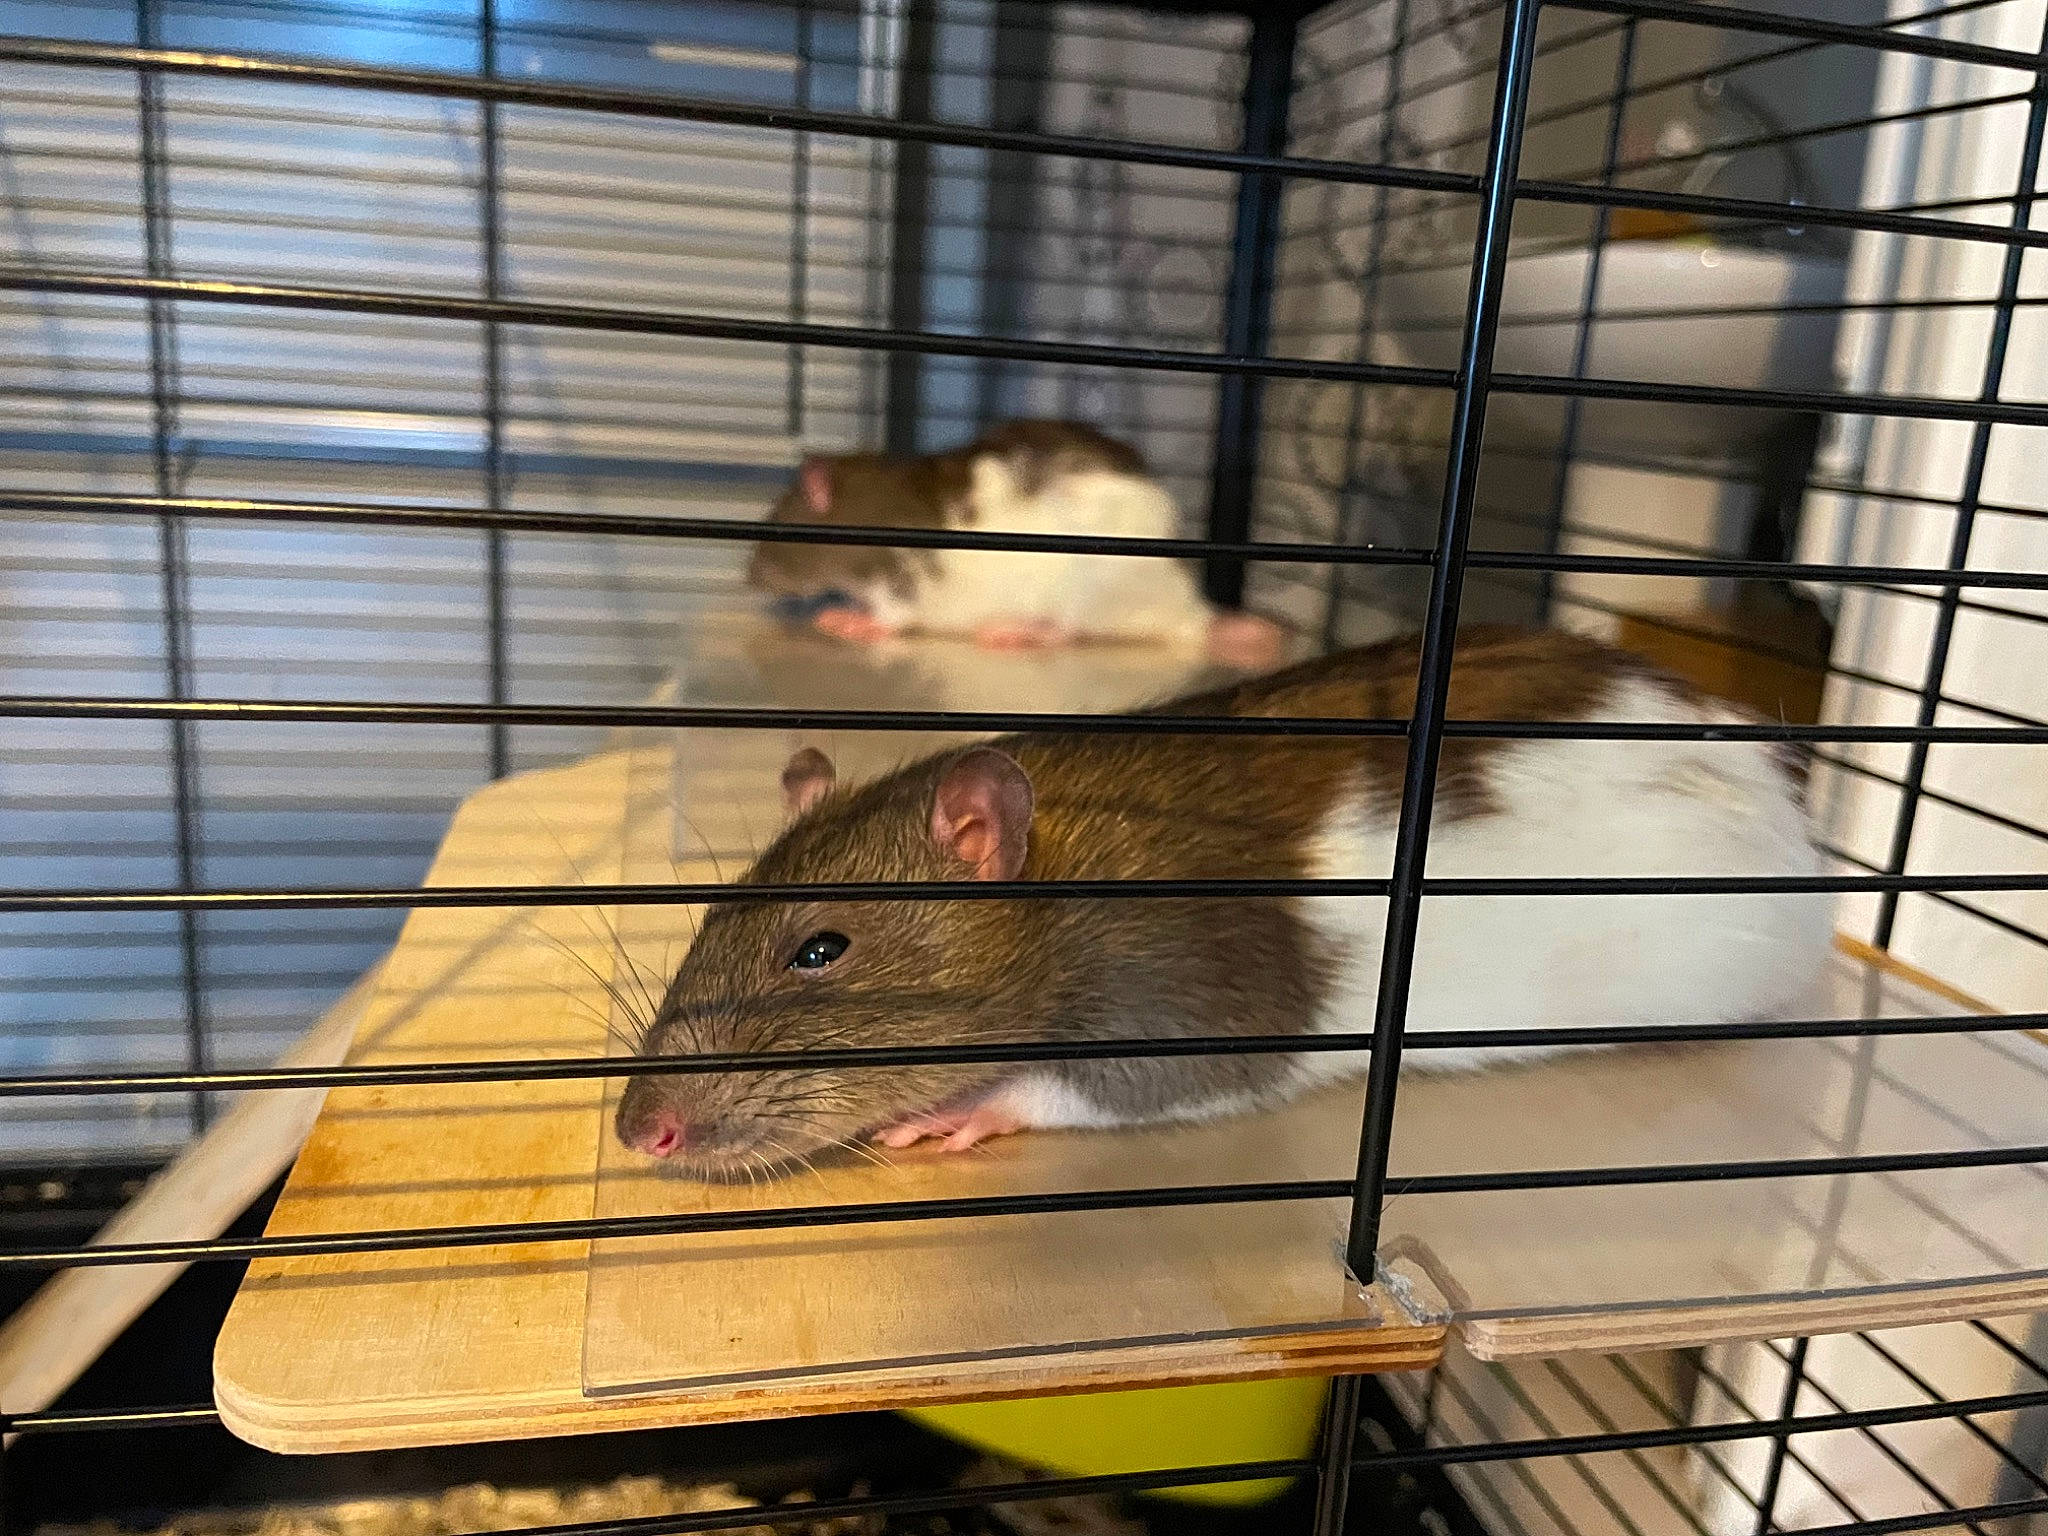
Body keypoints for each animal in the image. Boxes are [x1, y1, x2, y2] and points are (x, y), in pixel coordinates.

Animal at [615, 626, 1834, 1178]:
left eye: (819, 951)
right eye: (712, 922)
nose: (639, 1129)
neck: (1062, 861)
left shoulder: (1182, 982)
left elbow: (1153, 1080)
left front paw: (978, 1104)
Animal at [746, 420, 1285, 669]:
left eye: (773, 526)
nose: (749, 579)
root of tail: (1189, 609)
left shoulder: (895, 573)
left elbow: (892, 614)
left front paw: (853, 620)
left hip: (1085, 591)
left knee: (1071, 632)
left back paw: (1020, 631)